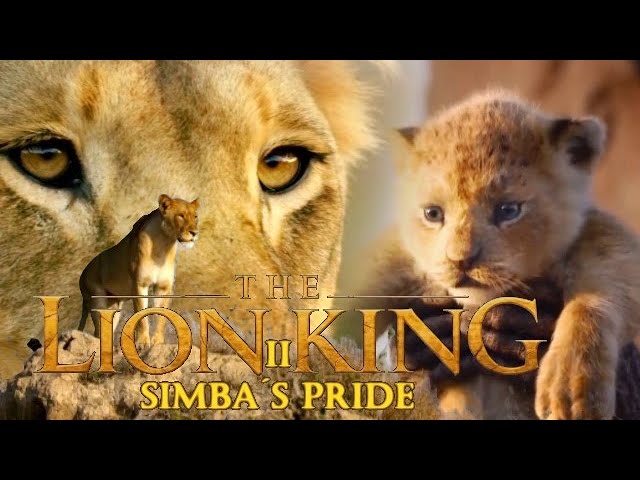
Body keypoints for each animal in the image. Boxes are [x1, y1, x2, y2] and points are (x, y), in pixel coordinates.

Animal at [77, 194, 199, 348]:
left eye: (195, 217)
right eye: (181, 216)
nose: (194, 233)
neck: (163, 245)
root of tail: (82, 274)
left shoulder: (163, 287)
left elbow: (161, 316)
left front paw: (158, 342)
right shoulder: (140, 284)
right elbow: (141, 315)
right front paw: (142, 342)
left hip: (114, 306)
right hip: (97, 300)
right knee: (98, 331)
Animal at [354, 90, 640, 419]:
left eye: (508, 210)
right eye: (432, 213)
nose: (461, 260)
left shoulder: (608, 245)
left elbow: (593, 301)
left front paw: (570, 388)